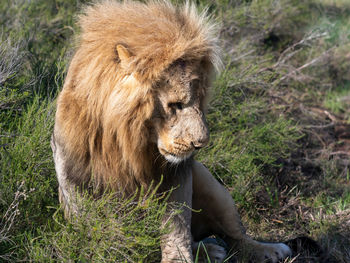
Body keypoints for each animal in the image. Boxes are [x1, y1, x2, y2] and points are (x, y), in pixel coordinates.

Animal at [51, 1, 292, 262]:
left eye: (201, 101)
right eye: (175, 105)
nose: (201, 144)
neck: (127, 140)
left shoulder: (176, 175)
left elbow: (177, 227)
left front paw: (177, 257)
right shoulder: (73, 173)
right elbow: (96, 228)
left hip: (211, 185)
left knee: (235, 237)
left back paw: (268, 250)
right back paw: (210, 250)